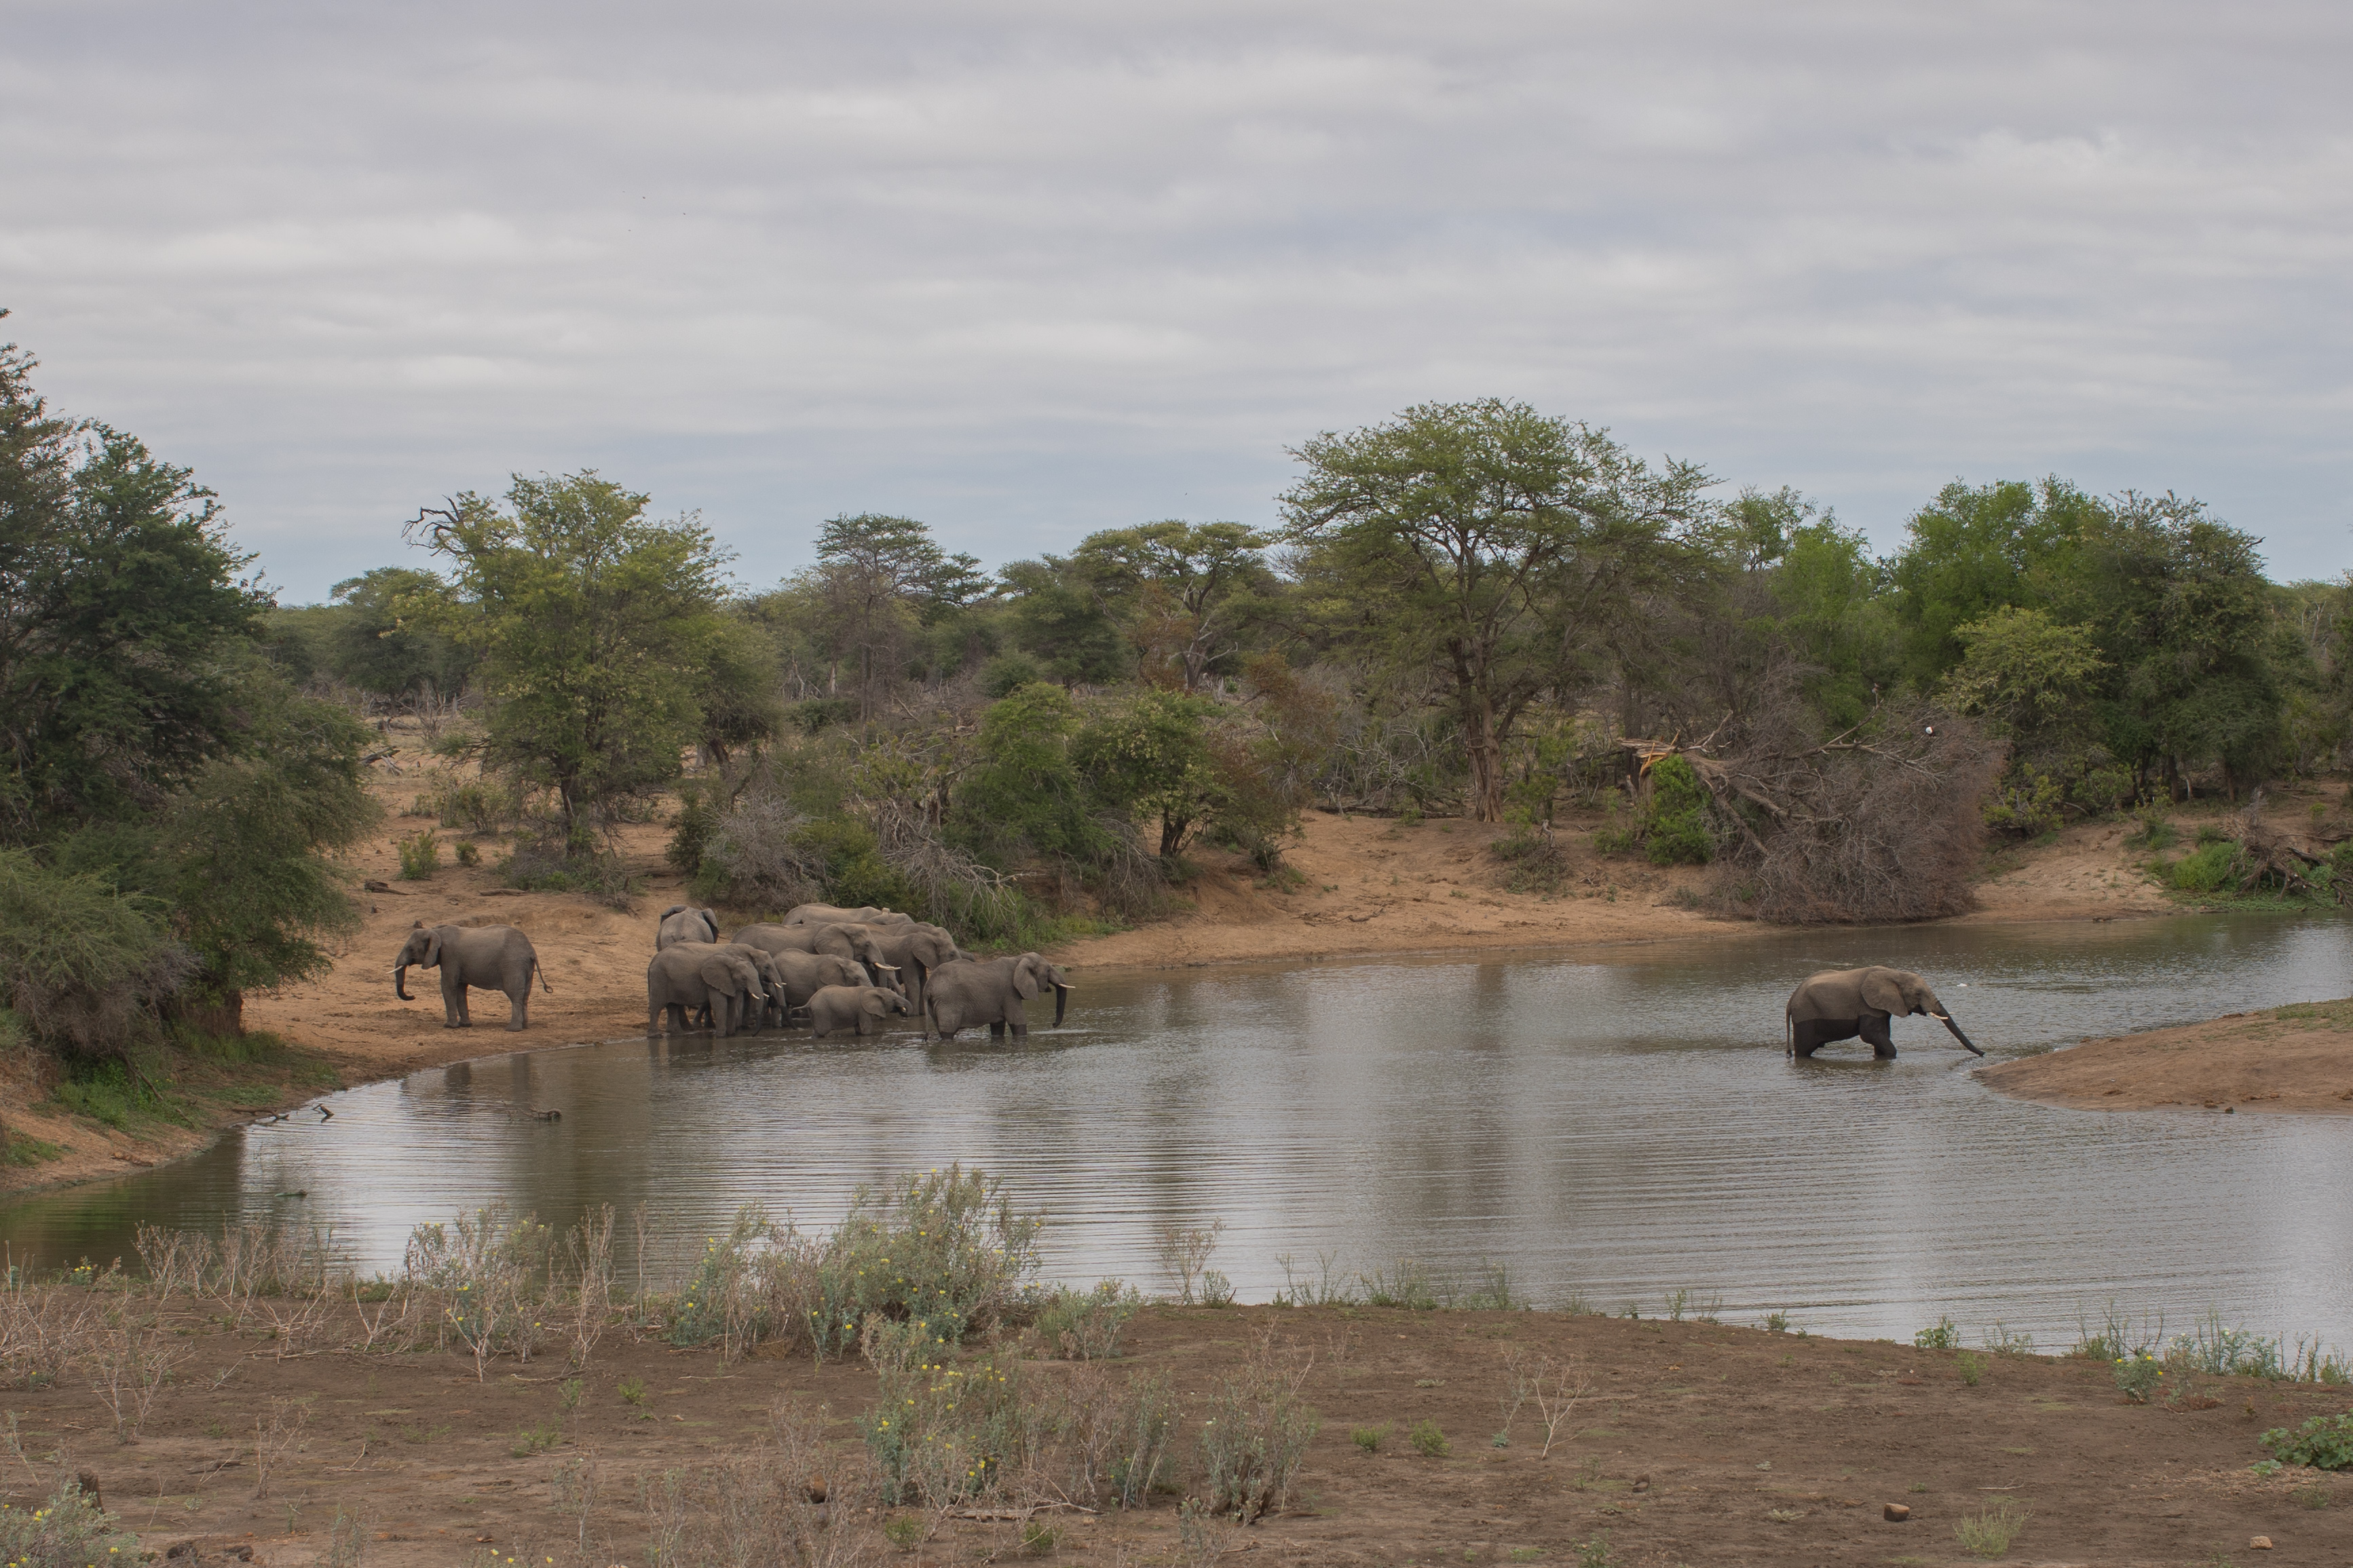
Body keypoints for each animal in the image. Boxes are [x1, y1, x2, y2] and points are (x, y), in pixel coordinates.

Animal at [392, 922, 549, 1031]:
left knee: (515, 995)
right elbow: (461, 989)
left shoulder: (450, 957)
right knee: (525, 996)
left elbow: (448, 986)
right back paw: (525, 1026)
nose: (413, 996)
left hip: (513, 966)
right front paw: (466, 1025)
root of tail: (531, 950)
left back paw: (513, 1029)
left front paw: (449, 1026)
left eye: (411, 949)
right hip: (526, 967)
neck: (436, 931)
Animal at [645, 942, 778, 1037]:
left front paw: (732, 1034)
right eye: (766, 967)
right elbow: (721, 1005)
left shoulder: (729, 982)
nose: (753, 1035)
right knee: (657, 1006)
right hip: (660, 978)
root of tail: (653, 959)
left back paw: (679, 1034)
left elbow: (731, 1004)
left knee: (672, 1006)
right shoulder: (714, 981)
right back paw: (656, 1036)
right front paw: (721, 1036)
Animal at [806, 984, 914, 1038]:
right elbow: (866, 1030)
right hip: (821, 1011)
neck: (875, 989)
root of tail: (810, 1001)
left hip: (815, 1012)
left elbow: (859, 1030)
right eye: (894, 1000)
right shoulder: (862, 1010)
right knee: (822, 1031)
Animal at [923, 952, 1073, 1041]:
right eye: (1048, 970)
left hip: (936, 1004)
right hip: (948, 1002)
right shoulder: (1010, 993)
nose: (1053, 1025)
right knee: (948, 1032)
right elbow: (1017, 1021)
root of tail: (928, 987)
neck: (1019, 959)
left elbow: (998, 1026)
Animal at [1785, 967, 1981, 1059]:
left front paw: (1880, 1057)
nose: (1984, 1054)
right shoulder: (1867, 1005)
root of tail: (1791, 999)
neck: (1895, 974)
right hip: (1805, 1016)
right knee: (1804, 1049)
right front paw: (1890, 1055)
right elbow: (1870, 1034)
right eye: (1918, 994)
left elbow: (1883, 1034)